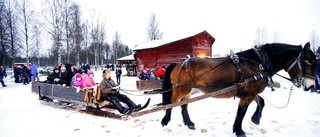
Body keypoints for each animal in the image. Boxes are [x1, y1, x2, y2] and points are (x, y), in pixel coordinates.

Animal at [161, 42, 316, 137]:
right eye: (310, 61)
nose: (312, 85)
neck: (259, 63)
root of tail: (178, 62)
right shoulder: (248, 95)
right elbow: (241, 113)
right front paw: (239, 130)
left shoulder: (250, 92)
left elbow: (261, 102)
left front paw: (255, 120)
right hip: (180, 89)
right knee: (171, 103)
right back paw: (165, 121)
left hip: (187, 90)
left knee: (183, 105)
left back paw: (189, 123)